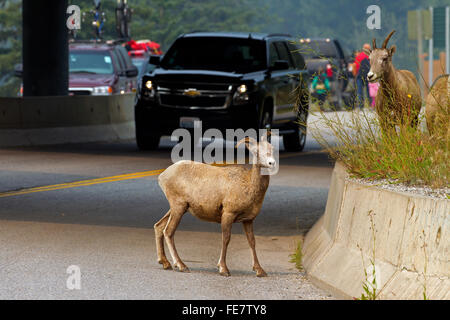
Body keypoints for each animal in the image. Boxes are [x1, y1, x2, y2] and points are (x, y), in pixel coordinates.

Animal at [154, 136, 274, 276]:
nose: (271, 163)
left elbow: (252, 241)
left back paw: (165, 263)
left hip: (177, 208)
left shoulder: (248, 220)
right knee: (168, 231)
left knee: (159, 226)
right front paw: (223, 269)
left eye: (272, 148)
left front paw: (260, 270)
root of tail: (162, 176)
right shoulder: (228, 214)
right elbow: (226, 239)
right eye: (256, 151)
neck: (248, 184)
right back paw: (181, 265)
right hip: (178, 206)